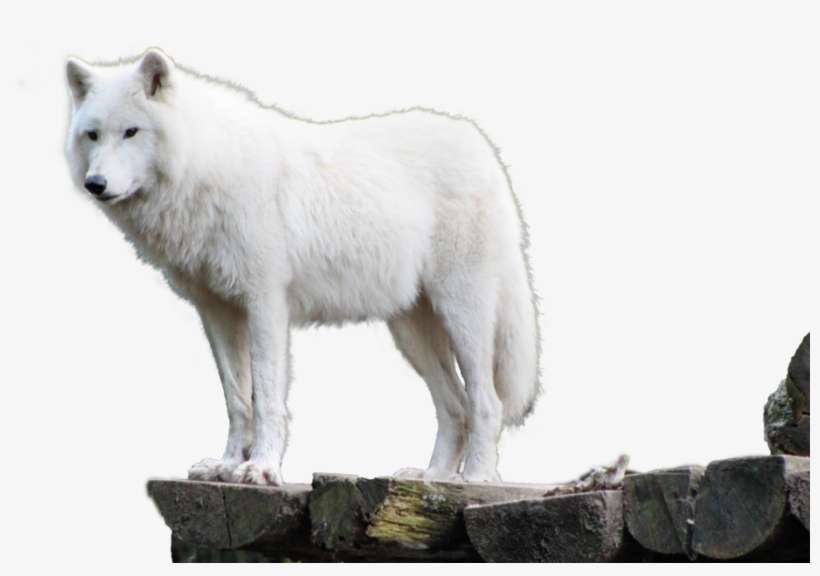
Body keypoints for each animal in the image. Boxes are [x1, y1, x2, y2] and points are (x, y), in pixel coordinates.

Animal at [64, 48, 540, 485]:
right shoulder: (217, 311)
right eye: (92, 135)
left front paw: (261, 468)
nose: (95, 184)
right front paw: (226, 466)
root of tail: (480, 144)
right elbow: (237, 399)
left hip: (463, 316)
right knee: (455, 406)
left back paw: (475, 479)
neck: (205, 167)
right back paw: (431, 478)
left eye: (131, 132)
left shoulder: (265, 304)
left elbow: (266, 396)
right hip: (411, 332)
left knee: (486, 402)